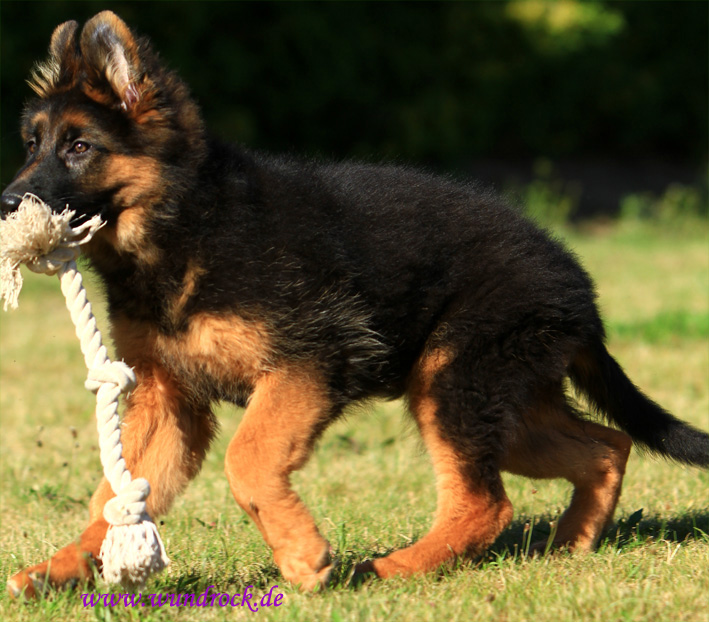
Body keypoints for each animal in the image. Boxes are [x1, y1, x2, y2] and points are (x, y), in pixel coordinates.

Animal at [2, 11, 708, 597]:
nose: (9, 204)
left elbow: (247, 459)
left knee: (488, 502)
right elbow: (114, 494)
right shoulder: (170, 401)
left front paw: (300, 556)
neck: (186, 225)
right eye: (32, 146)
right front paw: (62, 569)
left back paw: (397, 568)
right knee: (607, 446)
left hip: (453, 384)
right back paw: (571, 545)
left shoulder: (308, 361)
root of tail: (578, 289)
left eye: (80, 148)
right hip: (504, 404)